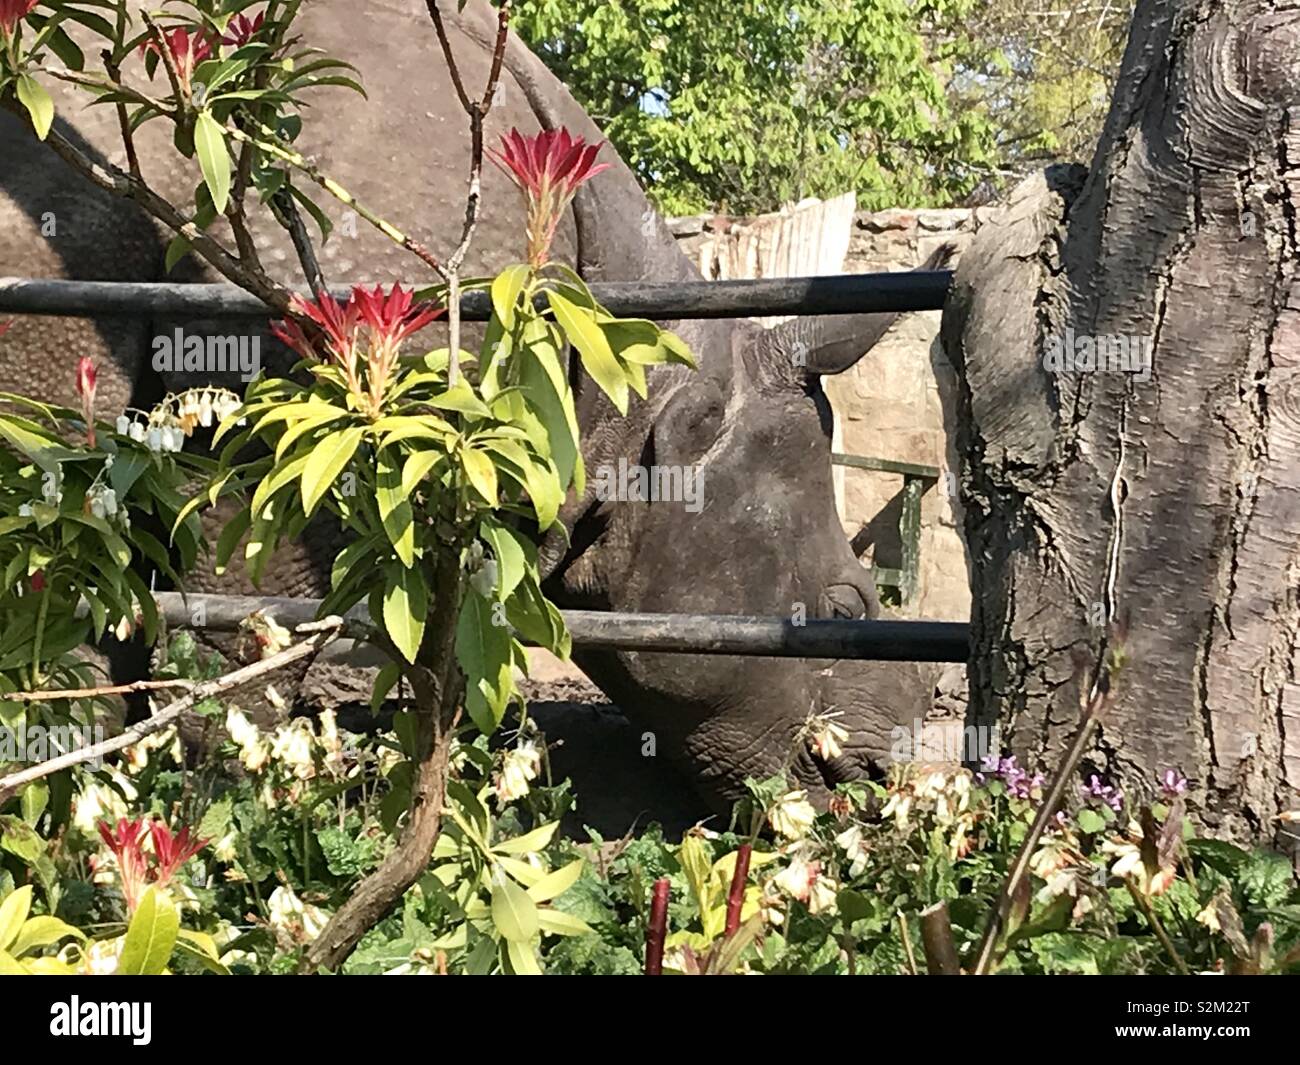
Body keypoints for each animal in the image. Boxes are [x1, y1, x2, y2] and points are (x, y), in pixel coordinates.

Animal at [0, 0, 944, 817]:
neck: (634, 390)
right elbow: (244, 652)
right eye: (846, 609)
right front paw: (228, 818)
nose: (879, 776)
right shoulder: (296, 418)